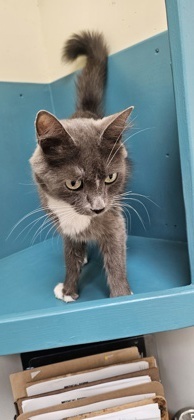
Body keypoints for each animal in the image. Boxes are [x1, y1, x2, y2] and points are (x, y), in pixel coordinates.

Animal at [29, 32, 133, 302]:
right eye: (73, 183)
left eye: (110, 178)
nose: (98, 208)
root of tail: (84, 112)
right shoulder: (63, 225)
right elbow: (70, 256)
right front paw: (68, 289)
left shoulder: (114, 218)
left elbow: (116, 258)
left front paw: (121, 296)